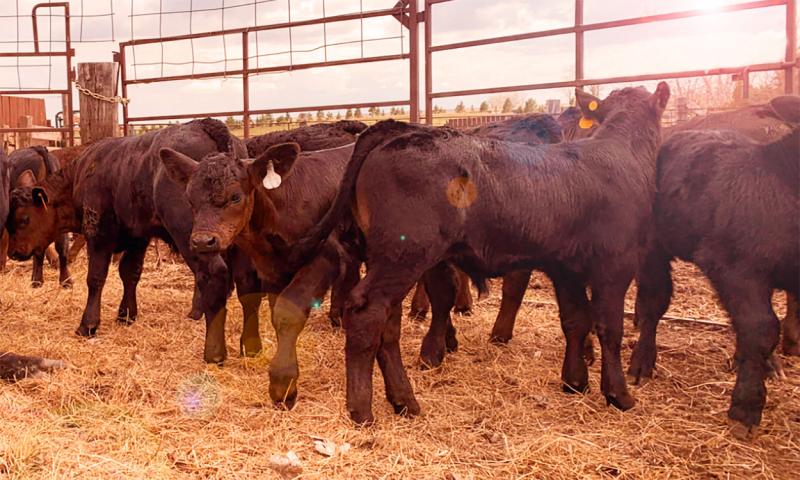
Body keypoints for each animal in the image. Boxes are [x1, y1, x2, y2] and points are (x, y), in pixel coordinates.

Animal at [288, 83, 671, 424]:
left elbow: (576, 320)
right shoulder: (616, 264)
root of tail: (394, 130)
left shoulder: (566, 268)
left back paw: (404, 401)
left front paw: (575, 381)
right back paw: (363, 410)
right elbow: (609, 327)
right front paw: (619, 393)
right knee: (367, 313)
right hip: (405, 253)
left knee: (388, 323)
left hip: (391, 258)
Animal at [627, 95, 800, 439]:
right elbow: (761, 328)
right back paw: (642, 362)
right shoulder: (736, 268)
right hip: (654, 247)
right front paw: (744, 408)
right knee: (654, 302)